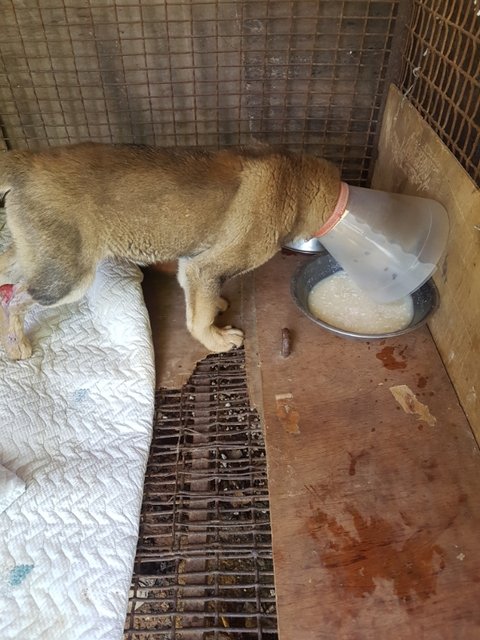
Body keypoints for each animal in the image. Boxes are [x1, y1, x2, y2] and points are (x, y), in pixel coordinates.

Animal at [0, 143, 340, 360]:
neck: (294, 182)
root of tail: (26, 162)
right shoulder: (205, 267)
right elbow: (198, 320)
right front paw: (216, 340)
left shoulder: (192, 263)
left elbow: (199, 303)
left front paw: (215, 306)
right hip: (67, 277)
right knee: (16, 298)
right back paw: (17, 346)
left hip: (35, 253)